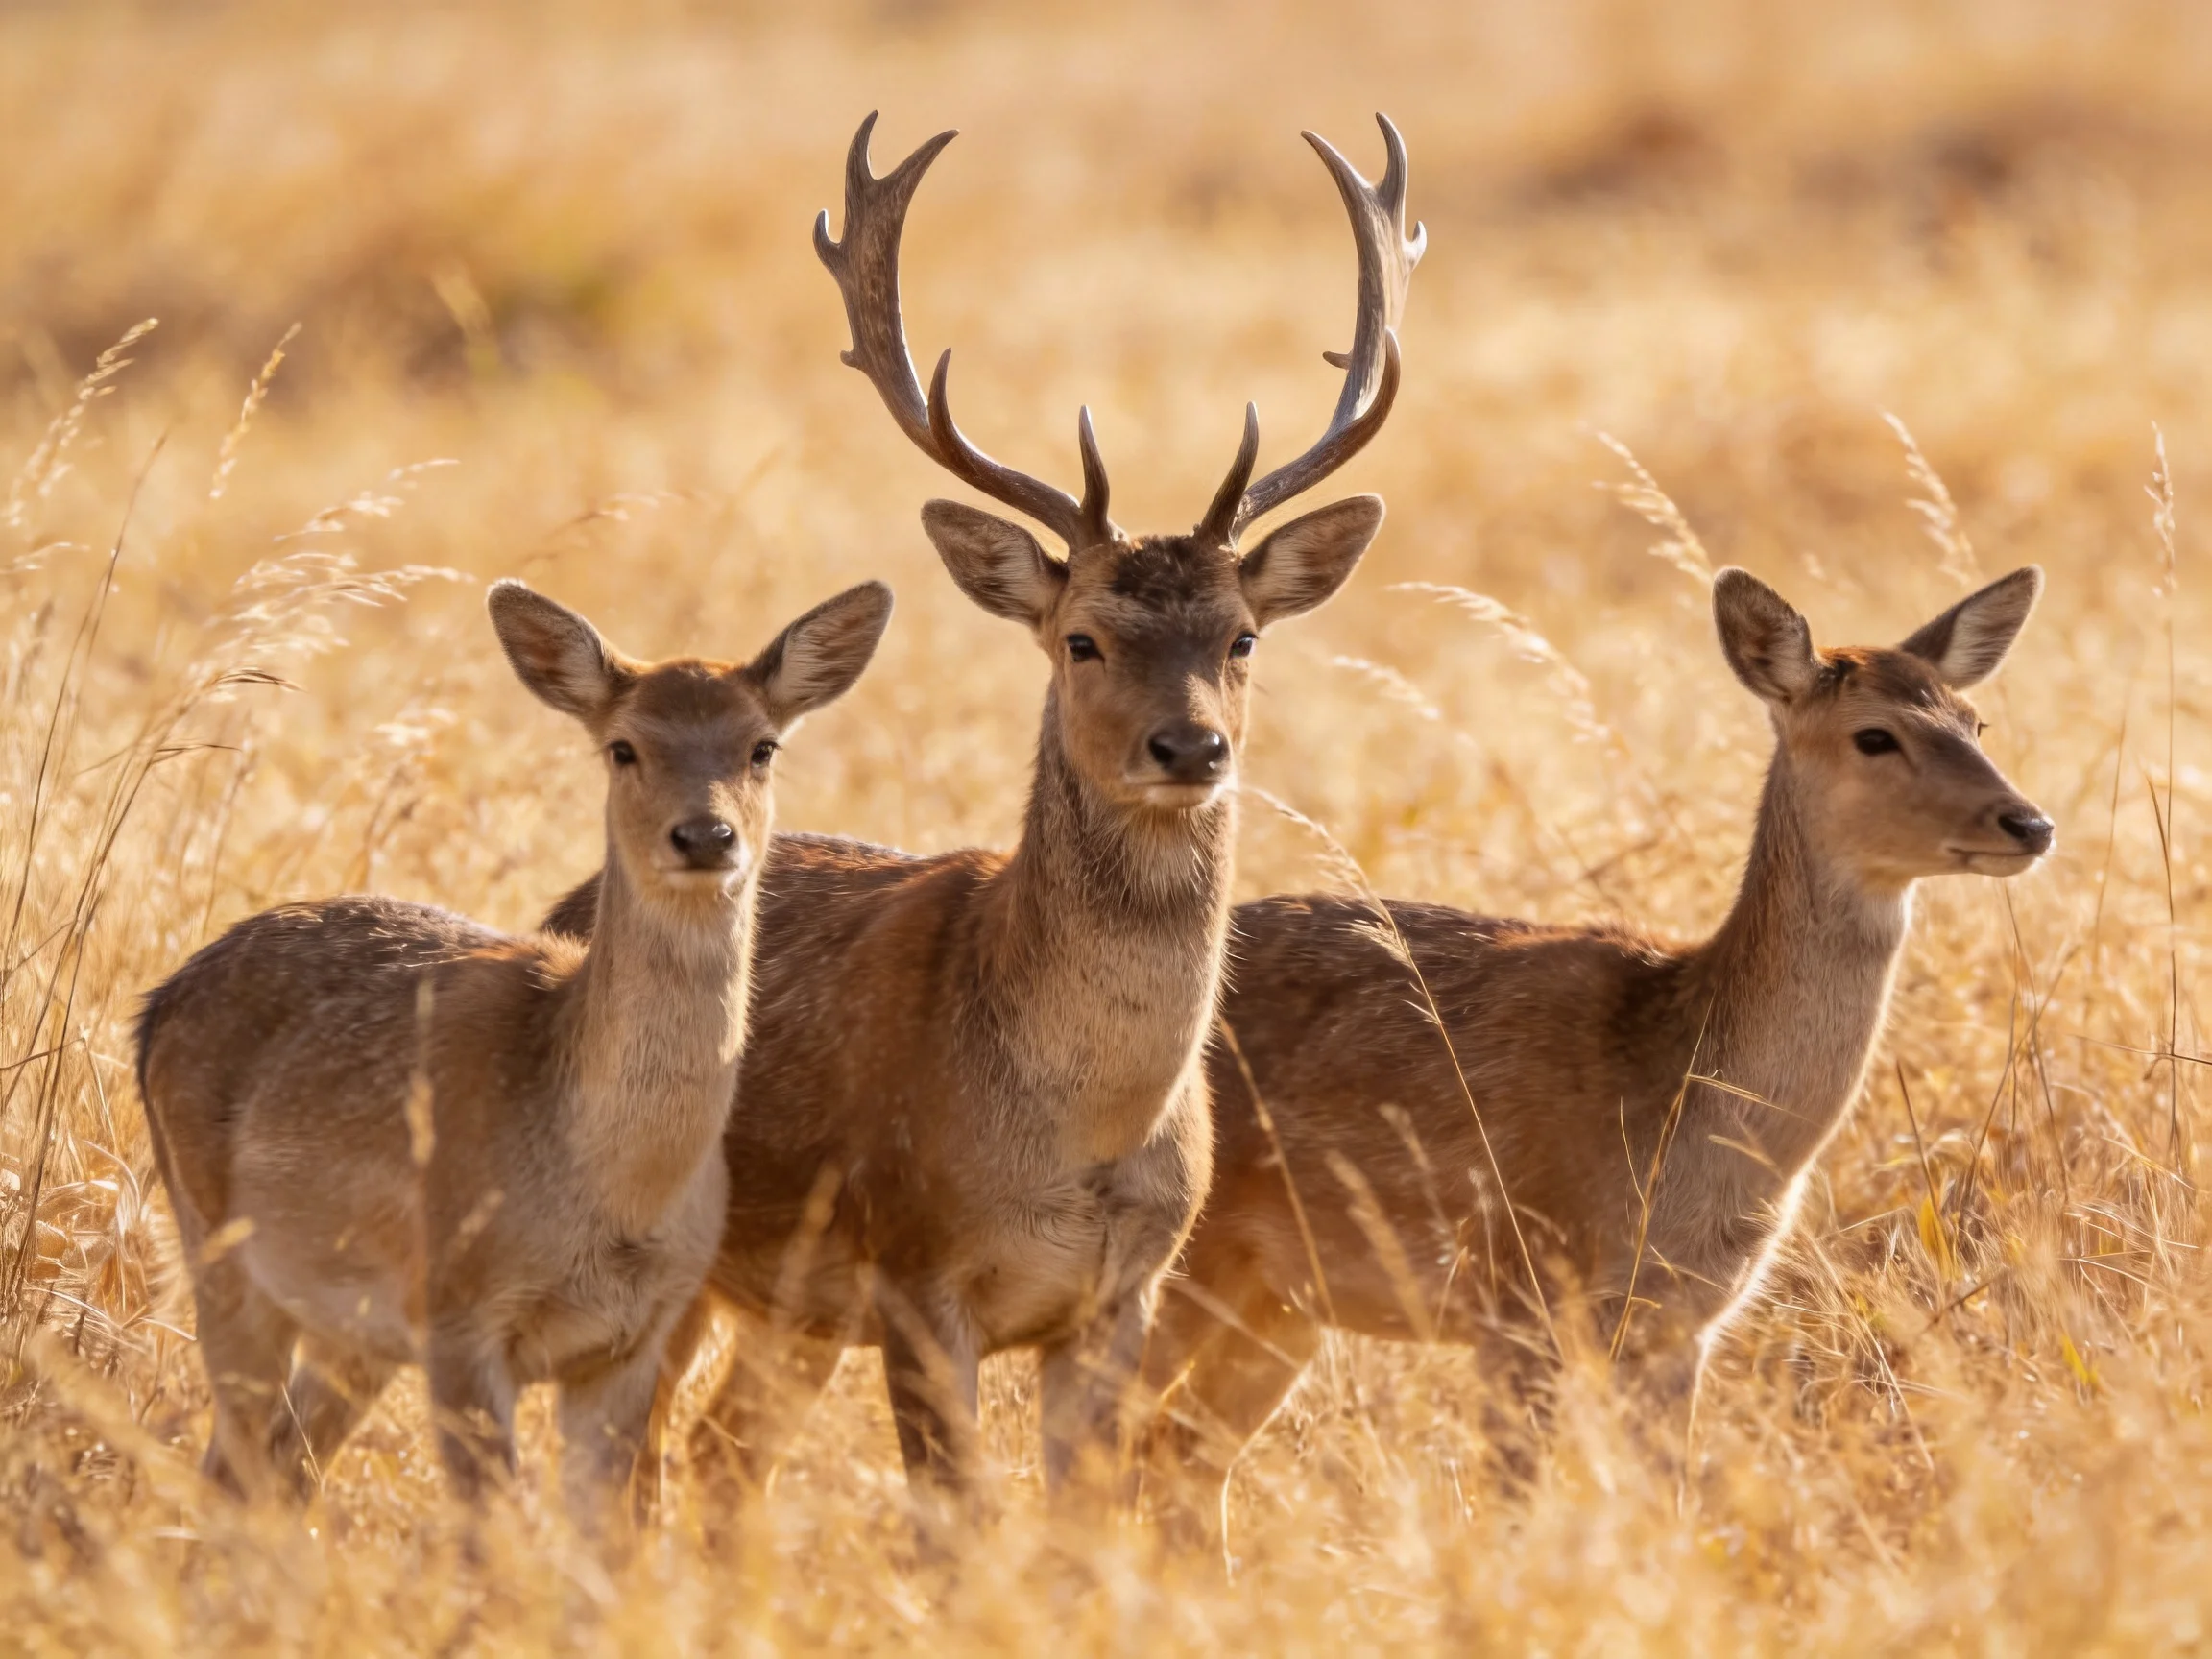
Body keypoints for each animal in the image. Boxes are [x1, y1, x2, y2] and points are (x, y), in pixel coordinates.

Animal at [135, 576, 893, 1527]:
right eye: (623, 747)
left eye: (762, 746)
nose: (705, 836)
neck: (608, 1196)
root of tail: (152, 1010)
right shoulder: (459, 1320)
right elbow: (489, 1537)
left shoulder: (633, 1340)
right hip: (220, 1253)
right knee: (232, 1464)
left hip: (353, 1330)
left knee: (277, 1465)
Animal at [541, 110, 1421, 1527]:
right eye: (1082, 637)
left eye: (1241, 636)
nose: (1193, 746)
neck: (1073, 1135)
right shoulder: (915, 1270)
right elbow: (955, 1523)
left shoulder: (1122, 1292)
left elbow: (1079, 1517)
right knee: (649, 1464)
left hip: (789, 1314)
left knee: (725, 1460)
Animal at [1140, 565, 2054, 1535]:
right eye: (1874, 735)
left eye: (1975, 722)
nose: (2028, 823)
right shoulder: (1519, 1292)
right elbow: (1507, 1506)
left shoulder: (1682, 1324)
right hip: (1171, 1258)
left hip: (1277, 1302)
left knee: (1182, 1459)